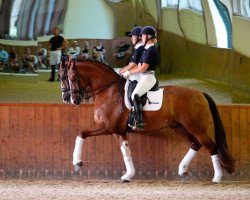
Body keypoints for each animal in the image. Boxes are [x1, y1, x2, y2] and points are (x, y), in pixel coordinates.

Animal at [62, 59, 234, 183]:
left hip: (196, 127)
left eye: (72, 78)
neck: (108, 91)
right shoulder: (118, 130)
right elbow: (126, 151)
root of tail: (200, 93)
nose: (71, 99)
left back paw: (217, 177)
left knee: (211, 146)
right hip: (180, 126)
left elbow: (82, 133)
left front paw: (77, 162)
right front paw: (128, 175)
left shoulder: (107, 127)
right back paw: (182, 170)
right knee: (195, 144)